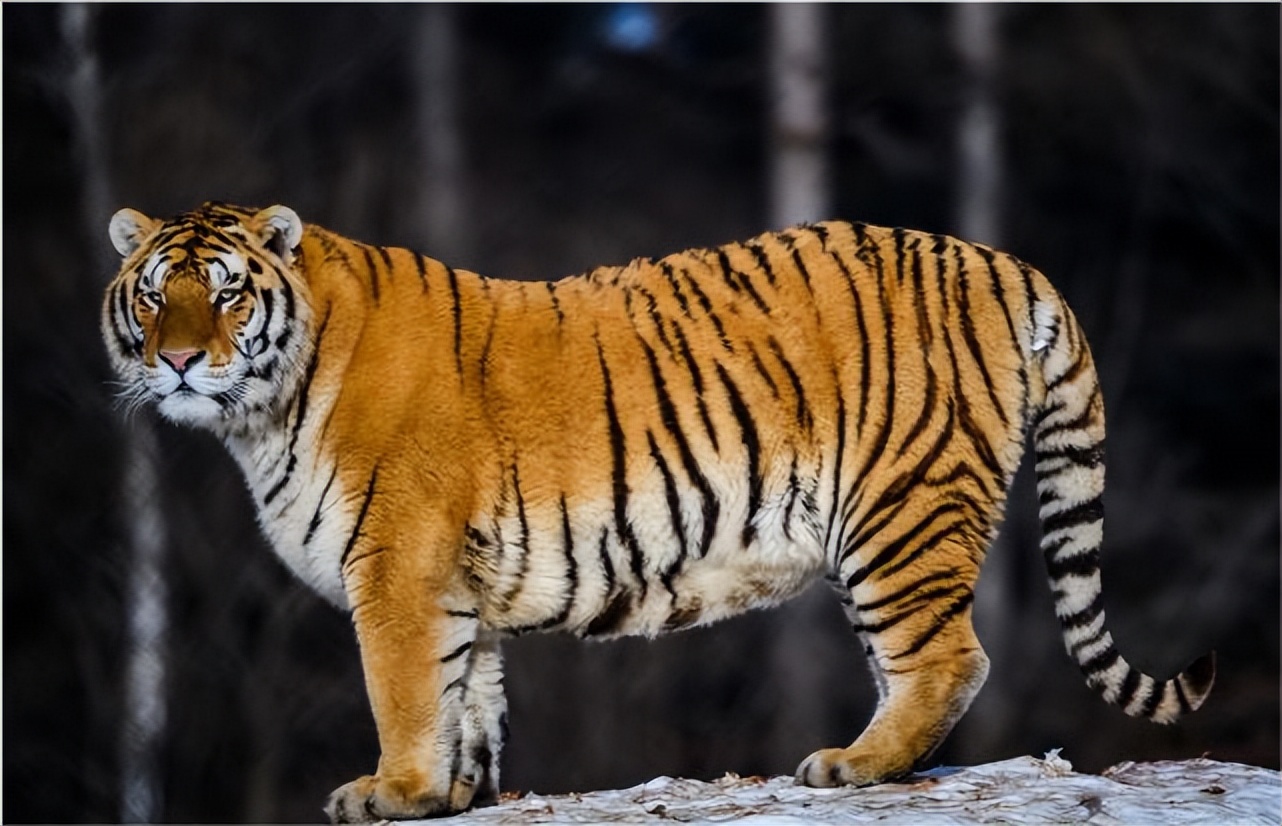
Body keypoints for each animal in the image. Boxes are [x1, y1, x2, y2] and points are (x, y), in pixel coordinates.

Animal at [101, 201, 1214, 822]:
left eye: (229, 294)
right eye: (154, 296)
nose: (180, 359)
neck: (263, 413)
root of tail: (998, 258)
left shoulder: (399, 565)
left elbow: (405, 692)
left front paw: (392, 793)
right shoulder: (456, 581)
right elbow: (469, 696)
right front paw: (449, 796)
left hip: (899, 512)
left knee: (946, 658)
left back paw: (852, 765)